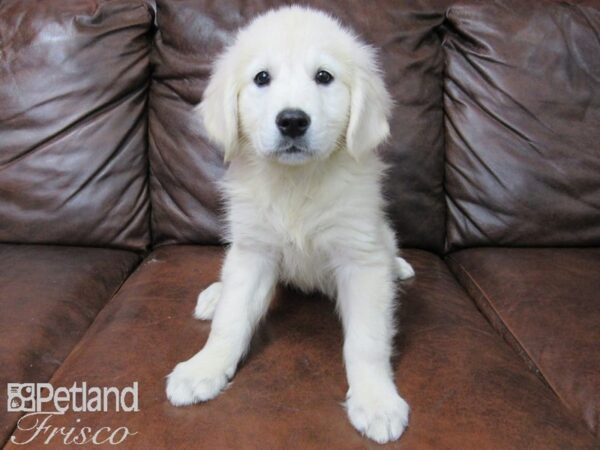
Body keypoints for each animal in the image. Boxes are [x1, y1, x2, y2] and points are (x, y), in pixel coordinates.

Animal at [166, 5, 414, 444]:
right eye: (262, 78)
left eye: (324, 76)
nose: (293, 121)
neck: (296, 183)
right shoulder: (254, 252)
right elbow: (231, 320)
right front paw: (204, 368)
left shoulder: (360, 258)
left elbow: (367, 340)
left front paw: (375, 400)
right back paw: (215, 295)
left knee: (388, 248)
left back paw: (397, 267)